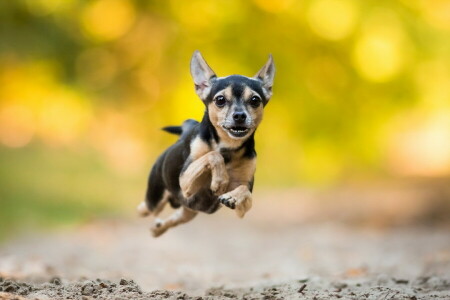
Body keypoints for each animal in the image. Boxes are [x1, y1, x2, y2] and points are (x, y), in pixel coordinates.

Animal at [137, 50, 274, 237]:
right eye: (220, 99)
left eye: (255, 100)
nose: (239, 115)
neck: (228, 149)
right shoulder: (185, 181)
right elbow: (213, 155)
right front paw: (220, 180)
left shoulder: (242, 207)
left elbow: (244, 191)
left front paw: (231, 196)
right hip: (155, 200)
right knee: (143, 208)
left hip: (188, 210)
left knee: (176, 218)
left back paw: (157, 229)